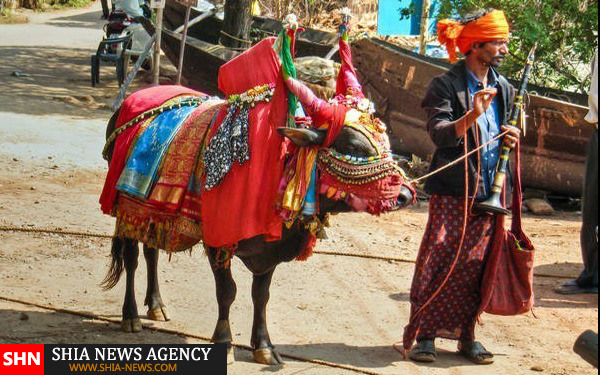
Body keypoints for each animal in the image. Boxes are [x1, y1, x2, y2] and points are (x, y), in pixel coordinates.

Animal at [99, 15, 412, 368]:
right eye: (354, 146)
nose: (405, 195)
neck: (277, 169)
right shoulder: (218, 240)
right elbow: (227, 292)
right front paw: (225, 342)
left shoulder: (269, 252)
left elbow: (261, 295)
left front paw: (263, 345)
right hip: (123, 207)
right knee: (131, 257)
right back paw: (130, 315)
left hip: (152, 211)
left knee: (152, 250)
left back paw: (156, 304)